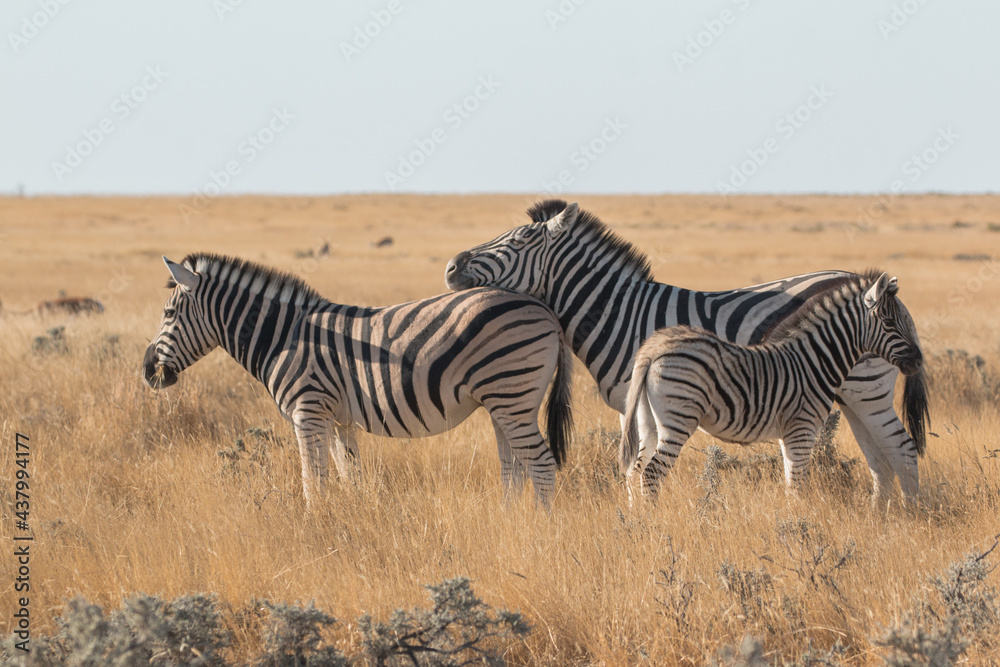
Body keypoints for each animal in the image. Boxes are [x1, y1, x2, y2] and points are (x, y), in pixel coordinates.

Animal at [142, 254, 573, 509]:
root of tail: (545, 310)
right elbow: (348, 476)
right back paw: (509, 522)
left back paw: (540, 531)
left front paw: (315, 527)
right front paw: (352, 521)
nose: (147, 371)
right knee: (514, 469)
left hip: (511, 394)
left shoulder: (307, 411)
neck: (283, 337)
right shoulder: (337, 419)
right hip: (503, 401)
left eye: (168, 313)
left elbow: (312, 480)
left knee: (541, 465)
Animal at [619, 270, 923, 497]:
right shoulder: (802, 428)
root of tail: (654, 348)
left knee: (636, 470)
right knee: (652, 473)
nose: (918, 361)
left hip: (647, 420)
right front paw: (800, 527)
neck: (815, 359)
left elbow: (791, 483)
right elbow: (798, 486)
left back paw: (638, 522)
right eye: (889, 322)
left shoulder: (789, 434)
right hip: (679, 418)